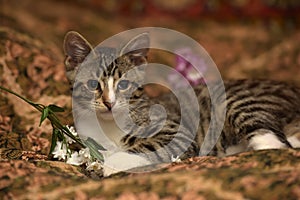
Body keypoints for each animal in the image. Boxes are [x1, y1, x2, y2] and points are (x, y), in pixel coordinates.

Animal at [63, 31, 300, 175]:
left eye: (123, 85)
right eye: (93, 84)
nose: (109, 103)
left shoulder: (175, 130)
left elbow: (146, 146)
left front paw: (113, 164)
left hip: (237, 99)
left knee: (277, 145)